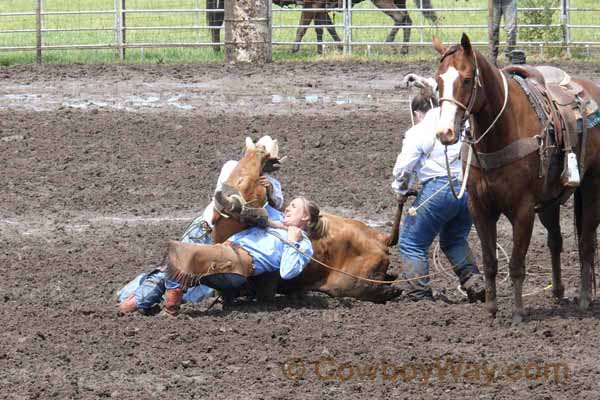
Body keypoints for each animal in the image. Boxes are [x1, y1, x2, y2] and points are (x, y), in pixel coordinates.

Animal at [434, 32, 600, 324]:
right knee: (555, 240)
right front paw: (491, 309)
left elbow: (516, 264)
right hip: (549, 202)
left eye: (466, 79)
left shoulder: (522, 210)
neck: (500, 133)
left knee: (586, 242)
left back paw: (583, 298)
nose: (445, 132)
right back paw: (557, 292)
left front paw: (518, 313)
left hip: (592, 185)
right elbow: (490, 261)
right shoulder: (479, 208)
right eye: (437, 81)